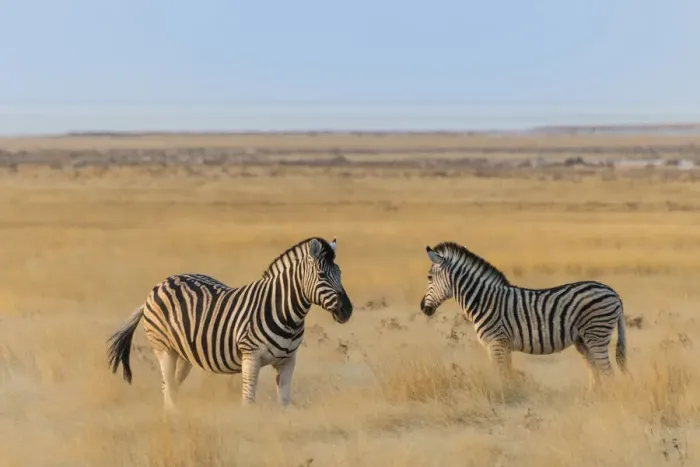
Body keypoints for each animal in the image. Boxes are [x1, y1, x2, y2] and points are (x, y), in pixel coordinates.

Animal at [107, 236, 353, 411]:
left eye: (340, 273)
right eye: (322, 275)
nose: (347, 310)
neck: (286, 314)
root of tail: (159, 285)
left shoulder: (288, 361)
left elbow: (284, 401)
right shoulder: (250, 357)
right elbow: (248, 400)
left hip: (184, 353)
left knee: (172, 386)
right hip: (164, 348)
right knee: (167, 386)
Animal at [419, 241, 627, 388]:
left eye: (429, 278)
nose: (423, 308)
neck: (484, 300)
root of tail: (614, 293)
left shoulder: (496, 343)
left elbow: (501, 376)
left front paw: (503, 398)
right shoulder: (503, 346)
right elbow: (508, 374)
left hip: (597, 334)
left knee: (608, 373)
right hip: (583, 340)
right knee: (596, 372)